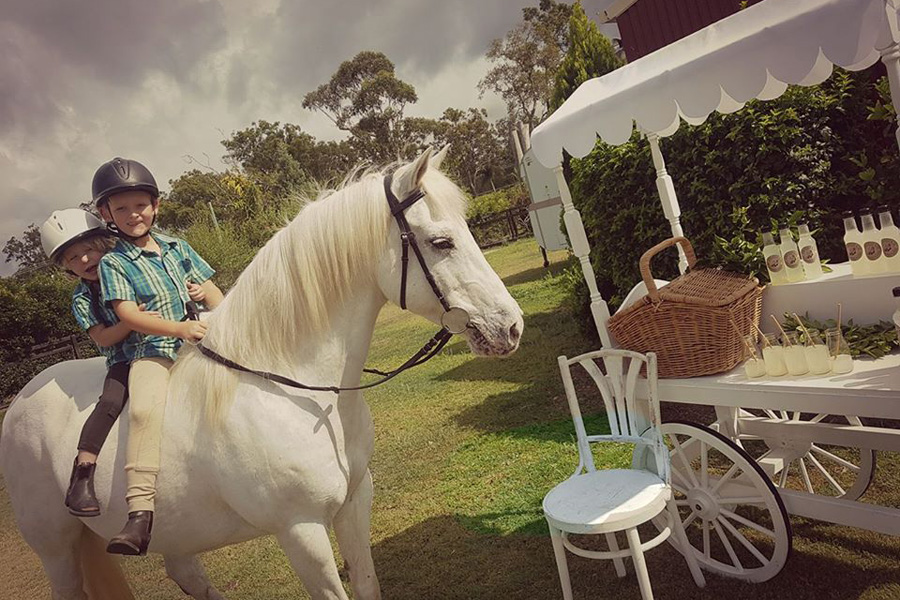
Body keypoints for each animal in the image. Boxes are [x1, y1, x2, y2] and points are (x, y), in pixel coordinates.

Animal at [0, 147, 524, 600]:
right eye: (441, 242)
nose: (510, 326)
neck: (295, 389)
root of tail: (20, 402)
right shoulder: (300, 531)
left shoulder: (356, 502)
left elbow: (367, 585)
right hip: (57, 548)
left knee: (186, 574)